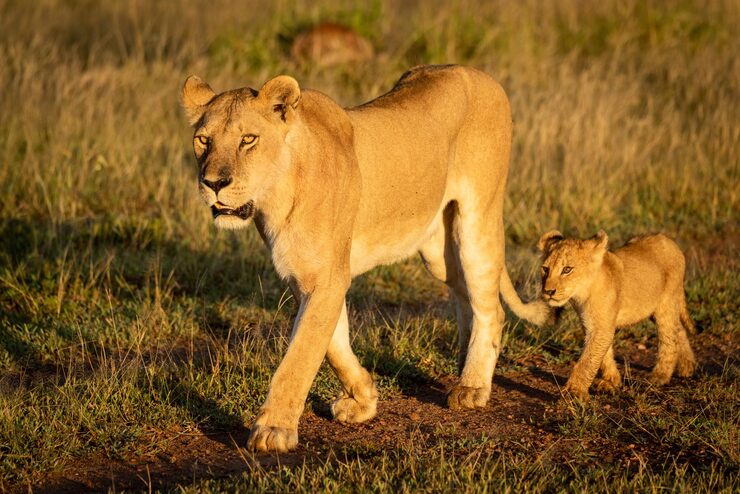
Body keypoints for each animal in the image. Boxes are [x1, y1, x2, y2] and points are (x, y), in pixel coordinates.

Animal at [181, 65, 551, 452]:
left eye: (248, 140)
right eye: (203, 141)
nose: (213, 183)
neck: (276, 196)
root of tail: (481, 74)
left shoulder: (327, 278)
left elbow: (300, 356)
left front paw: (274, 429)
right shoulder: (305, 277)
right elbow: (333, 343)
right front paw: (363, 399)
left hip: (478, 218)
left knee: (491, 306)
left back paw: (473, 385)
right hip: (438, 251)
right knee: (466, 293)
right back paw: (464, 363)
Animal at [537, 230, 697, 400]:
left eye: (567, 269)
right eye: (545, 269)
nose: (548, 291)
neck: (582, 293)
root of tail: (669, 241)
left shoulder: (601, 327)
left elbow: (588, 360)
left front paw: (574, 392)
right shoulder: (591, 324)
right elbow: (603, 355)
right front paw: (611, 381)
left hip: (665, 303)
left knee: (669, 339)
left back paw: (659, 376)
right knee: (679, 330)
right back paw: (688, 367)